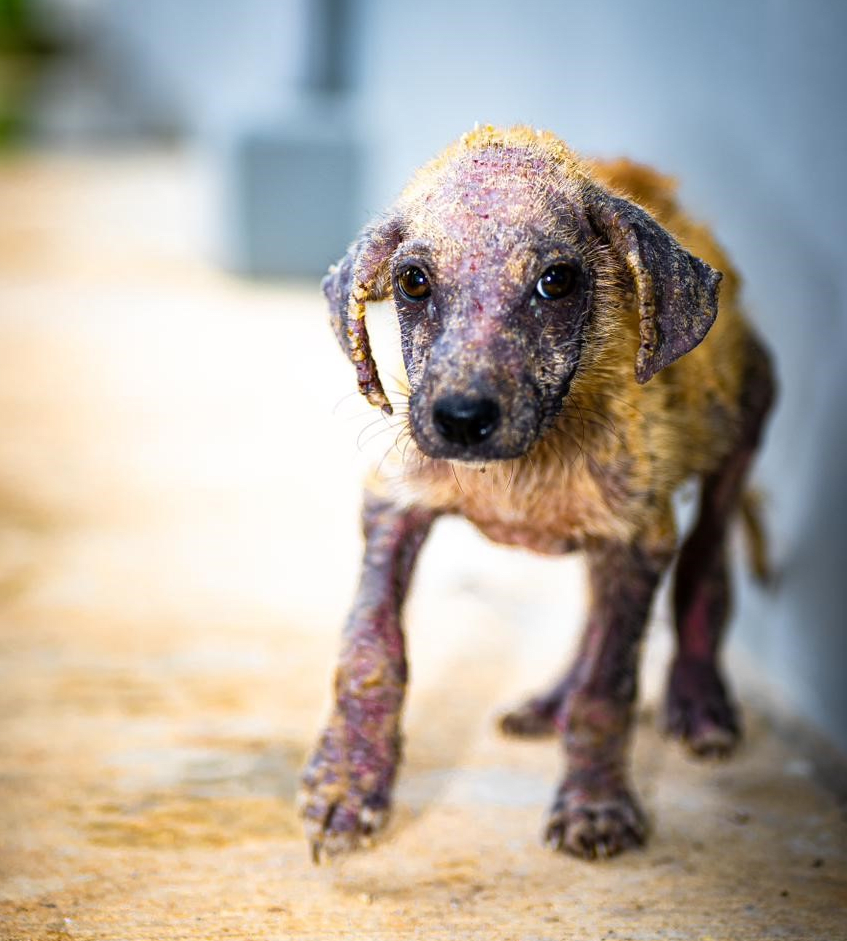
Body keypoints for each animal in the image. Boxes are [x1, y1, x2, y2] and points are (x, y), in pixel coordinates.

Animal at [298, 123, 776, 860]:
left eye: (556, 281)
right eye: (412, 281)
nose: (462, 419)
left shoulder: (636, 537)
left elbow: (609, 684)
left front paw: (595, 805)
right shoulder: (395, 502)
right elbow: (369, 650)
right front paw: (347, 784)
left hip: (742, 430)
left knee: (703, 569)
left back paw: (697, 701)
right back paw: (552, 701)